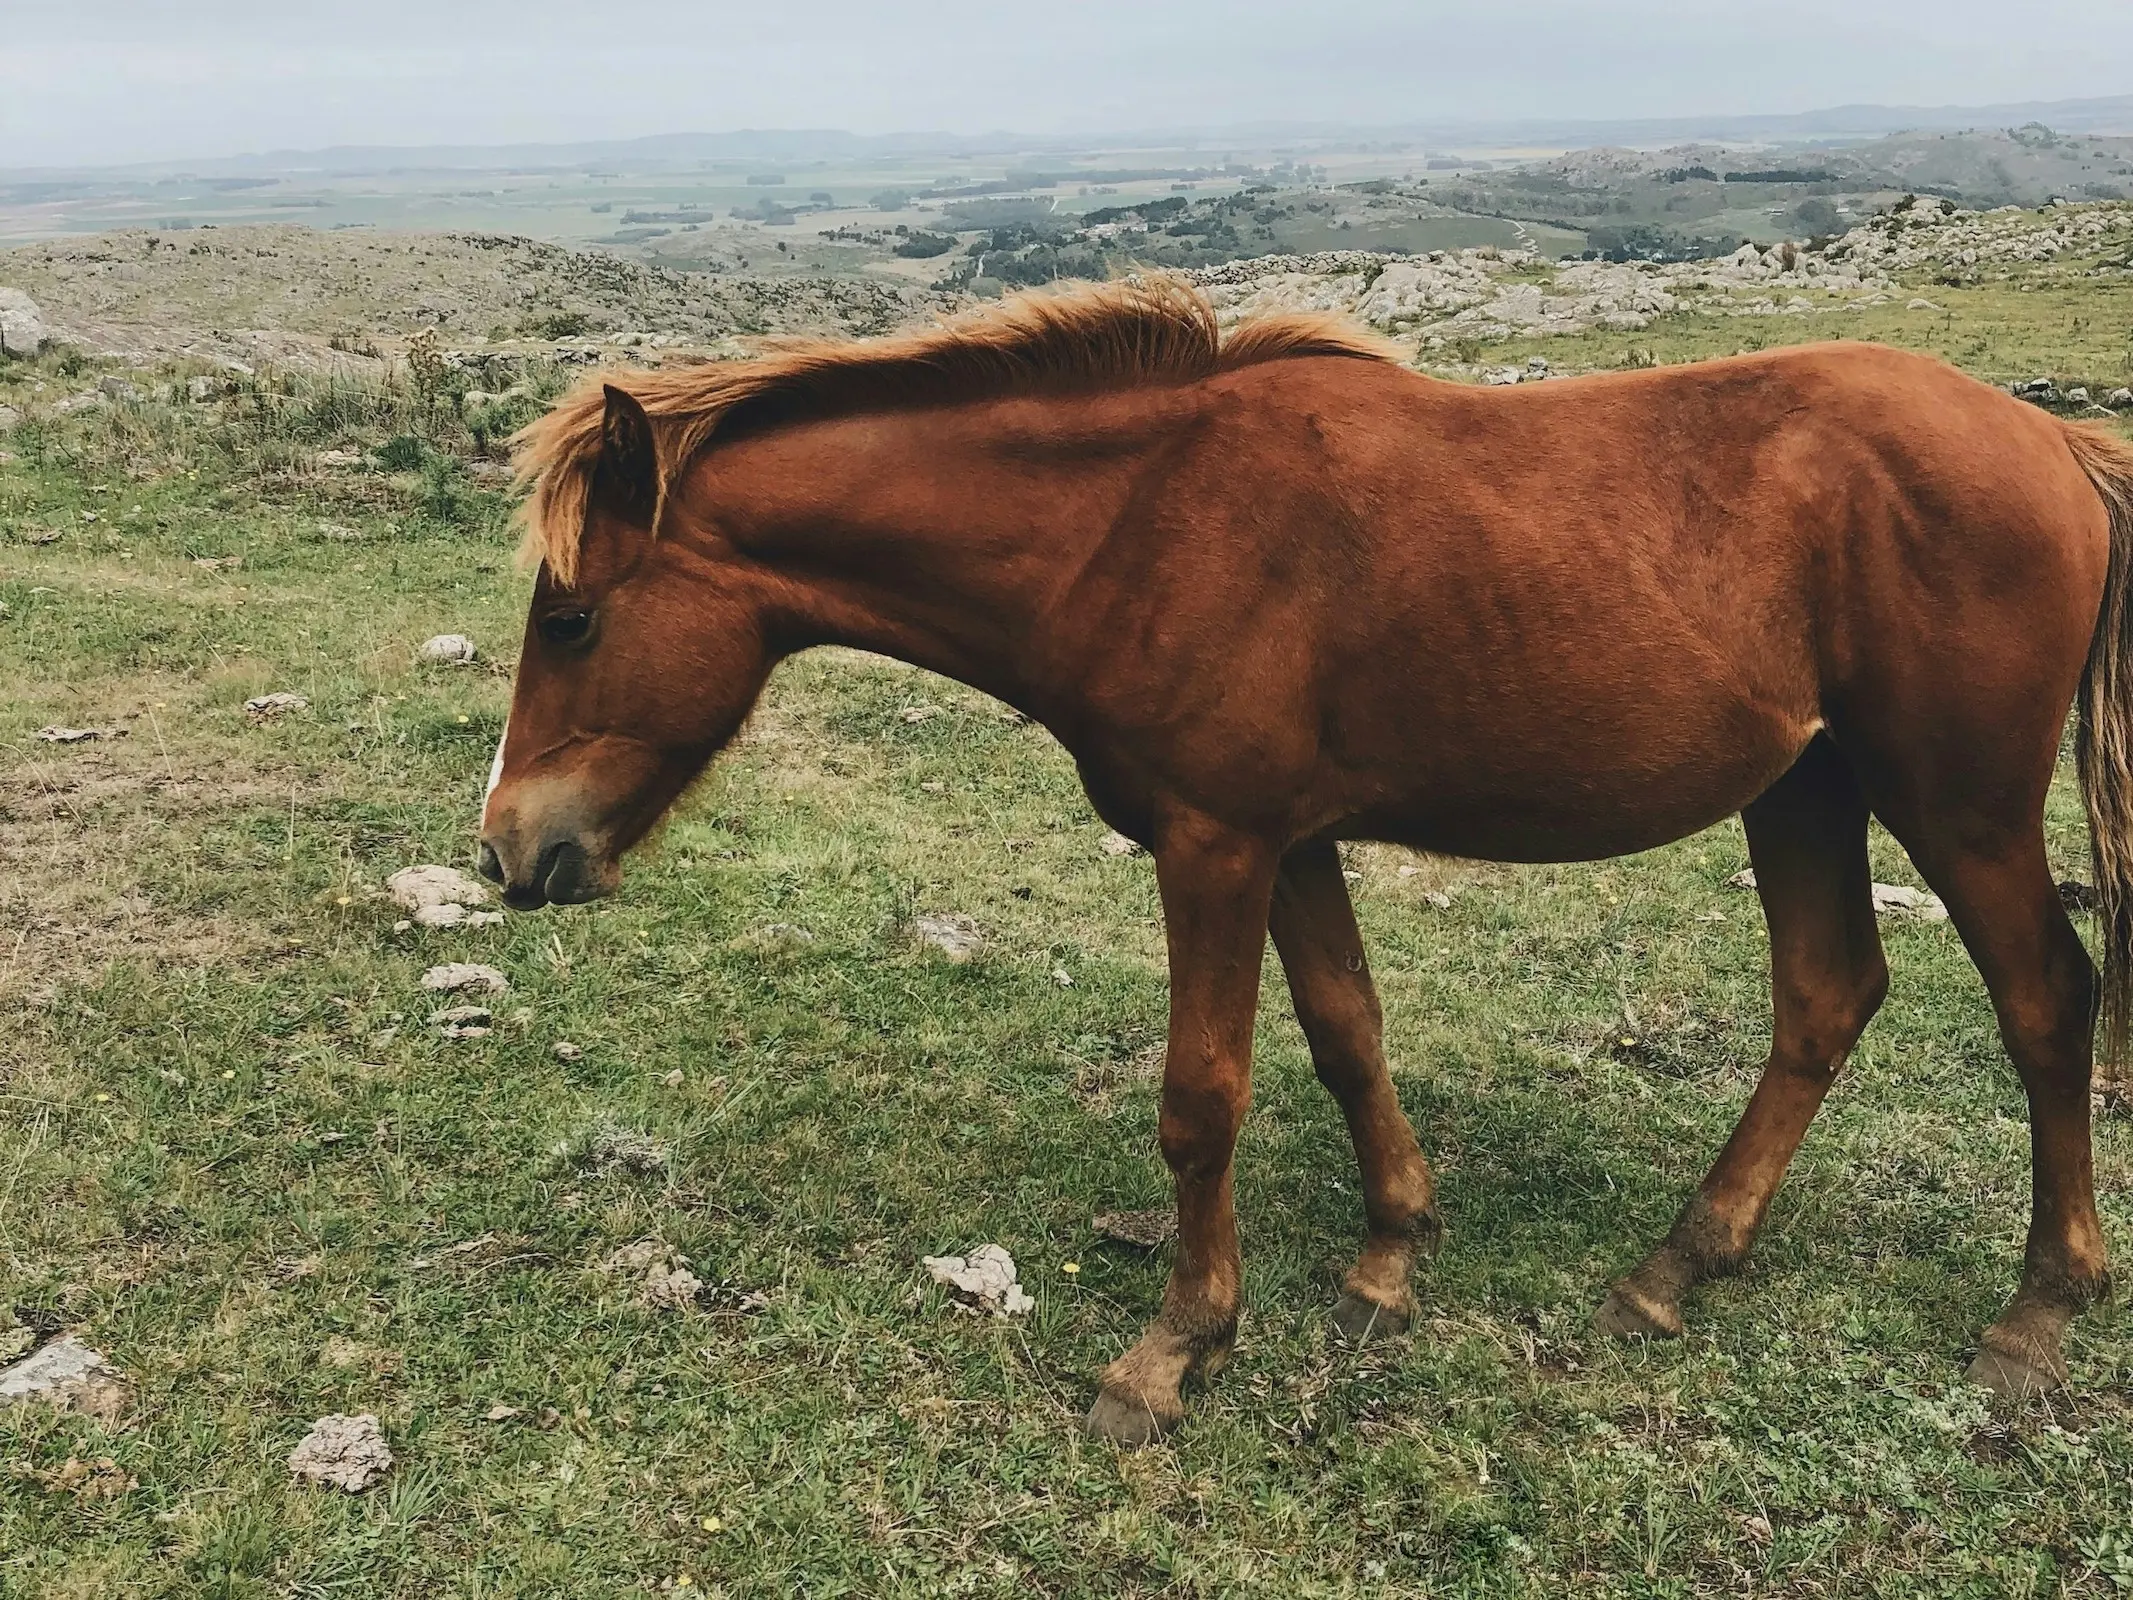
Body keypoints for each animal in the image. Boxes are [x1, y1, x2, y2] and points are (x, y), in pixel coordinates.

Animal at [484, 281, 2133, 1450]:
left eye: (569, 618)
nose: (508, 850)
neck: (1138, 520)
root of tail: (2050, 441)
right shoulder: (1290, 843)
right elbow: (1346, 1034)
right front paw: (1390, 1255)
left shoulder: (1214, 843)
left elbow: (1200, 1099)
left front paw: (1173, 1351)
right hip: (1804, 788)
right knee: (1825, 997)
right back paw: (1677, 1266)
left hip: (1959, 808)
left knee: (2047, 1006)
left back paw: (2036, 1316)